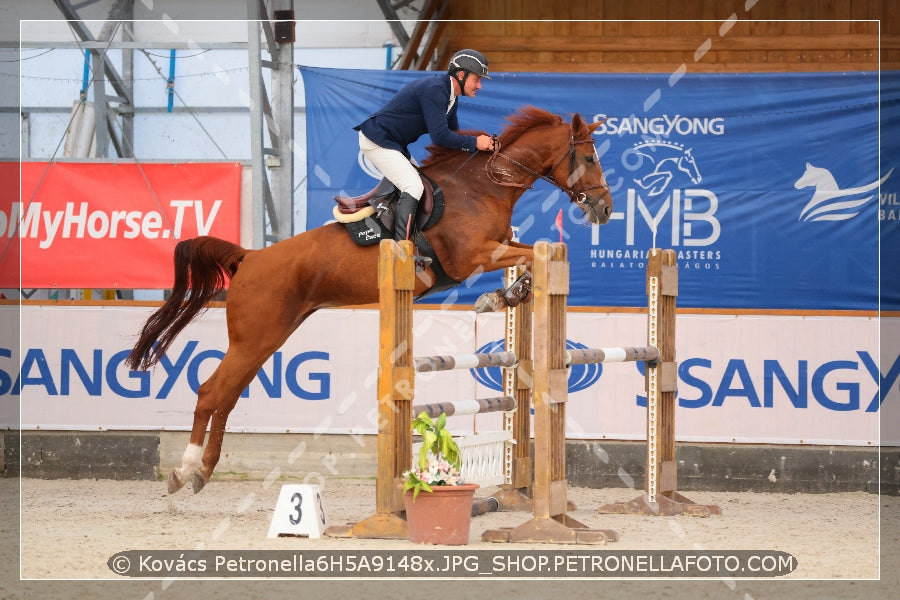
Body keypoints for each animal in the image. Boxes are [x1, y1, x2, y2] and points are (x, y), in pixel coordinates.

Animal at [126, 105, 616, 494]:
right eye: (589, 157)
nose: (606, 209)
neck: (486, 185)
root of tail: (250, 257)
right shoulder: (472, 256)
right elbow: (531, 254)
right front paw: (498, 298)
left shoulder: (496, 247)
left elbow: (534, 253)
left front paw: (506, 296)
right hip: (255, 337)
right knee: (211, 392)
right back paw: (183, 470)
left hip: (266, 340)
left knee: (225, 397)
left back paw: (202, 472)